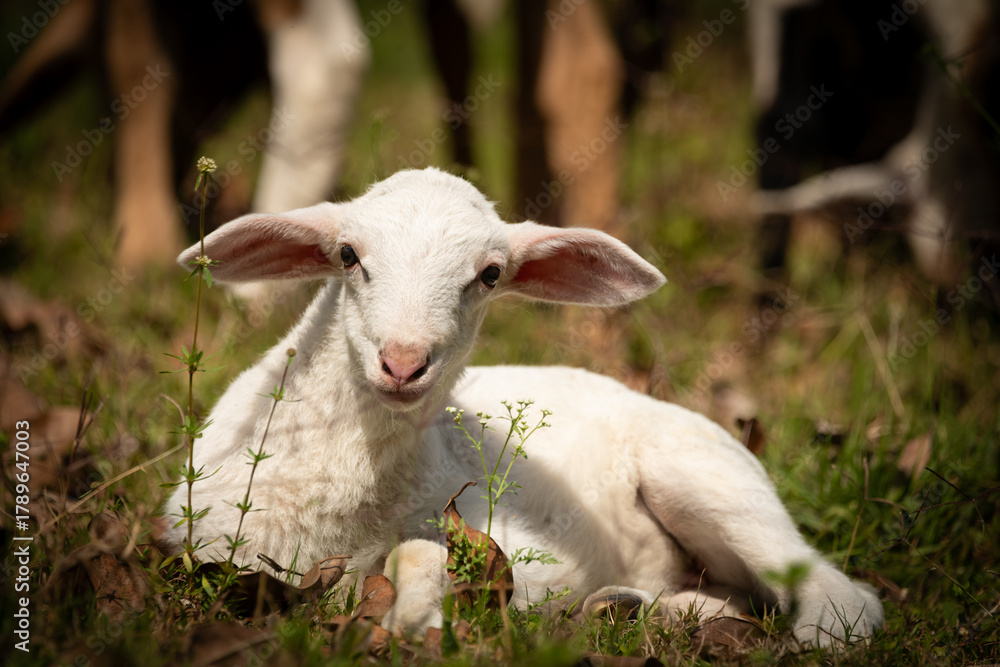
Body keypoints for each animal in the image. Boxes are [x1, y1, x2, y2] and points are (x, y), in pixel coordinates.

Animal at [163, 167, 883, 647]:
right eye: (347, 255)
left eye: (489, 276)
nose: (404, 363)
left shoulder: (496, 547)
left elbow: (422, 559)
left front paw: (414, 622)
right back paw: (631, 605)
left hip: (713, 481)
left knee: (838, 587)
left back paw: (818, 633)